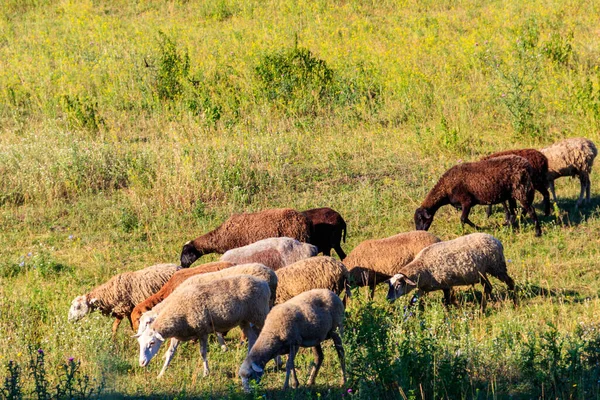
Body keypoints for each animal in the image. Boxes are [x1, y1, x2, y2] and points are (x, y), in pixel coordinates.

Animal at [136, 276, 270, 378]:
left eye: (152, 343)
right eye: (140, 343)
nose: (141, 363)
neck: (178, 309)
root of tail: (263, 283)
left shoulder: (202, 331)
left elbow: (203, 353)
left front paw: (206, 372)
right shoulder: (177, 336)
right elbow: (170, 353)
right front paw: (161, 374)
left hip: (260, 313)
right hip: (244, 320)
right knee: (252, 338)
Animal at [386, 231, 516, 306]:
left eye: (398, 285)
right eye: (389, 285)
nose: (388, 299)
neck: (422, 267)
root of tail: (496, 240)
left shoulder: (446, 284)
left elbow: (447, 301)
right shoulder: (424, 288)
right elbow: (413, 301)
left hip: (497, 266)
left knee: (509, 281)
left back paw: (512, 297)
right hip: (481, 272)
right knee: (488, 287)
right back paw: (484, 304)